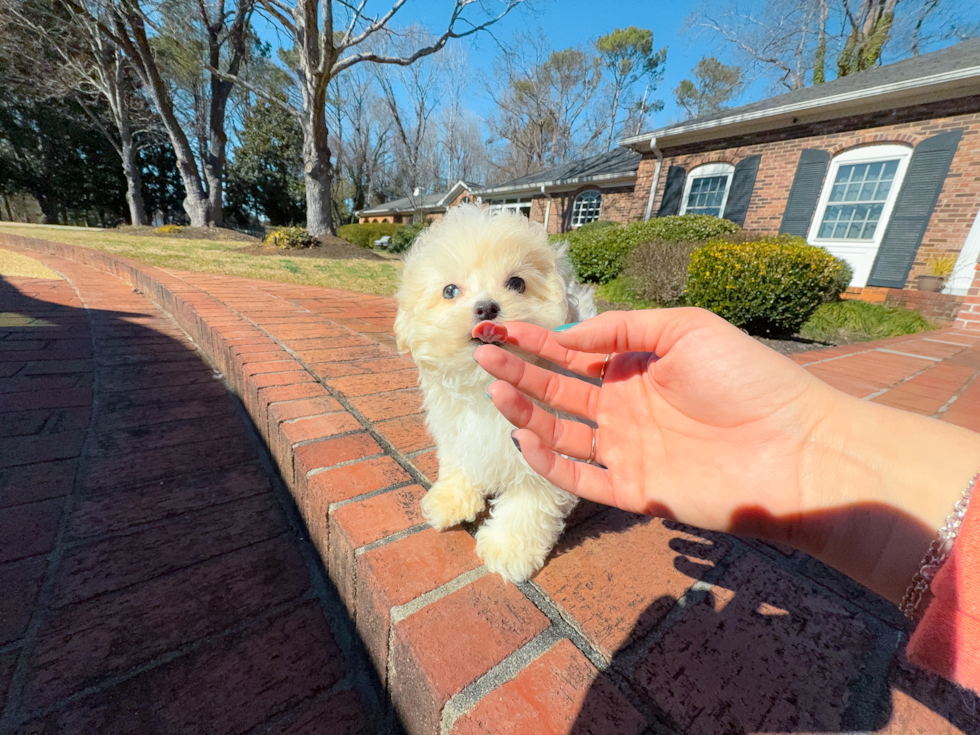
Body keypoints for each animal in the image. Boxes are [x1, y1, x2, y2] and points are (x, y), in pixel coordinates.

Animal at [392, 204, 592, 584]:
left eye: (517, 283)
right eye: (450, 290)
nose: (486, 308)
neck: (485, 384)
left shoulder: (542, 450)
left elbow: (529, 502)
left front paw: (508, 550)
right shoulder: (457, 428)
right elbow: (459, 461)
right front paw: (450, 501)